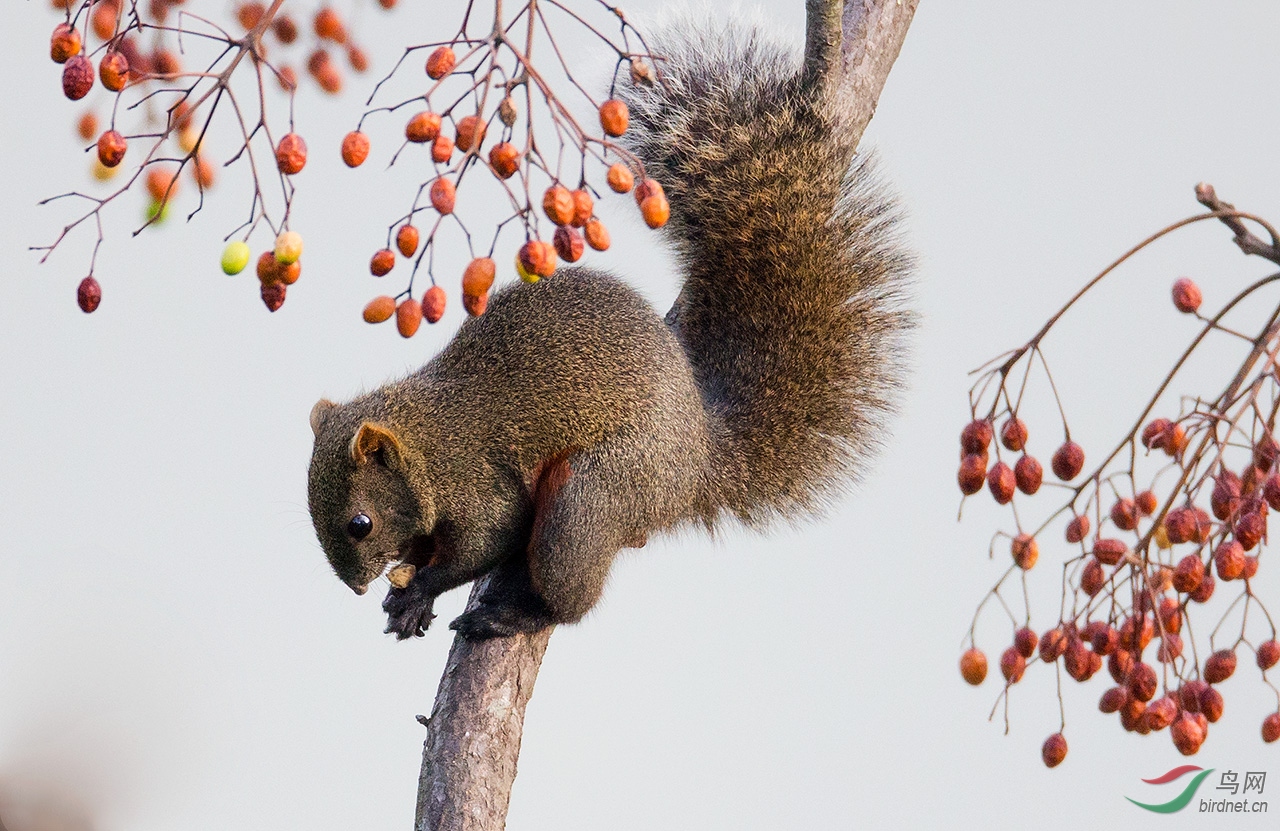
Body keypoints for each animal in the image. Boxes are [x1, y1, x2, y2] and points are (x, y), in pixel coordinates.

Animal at [305, 22, 916, 637]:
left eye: (360, 523)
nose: (356, 587)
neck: (424, 440)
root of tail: (694, 469)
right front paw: (408, 595)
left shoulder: (475, 481)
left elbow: (488, 539)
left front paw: (423, 586)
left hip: (591, 495)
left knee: (569, 594)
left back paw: (512, 615)